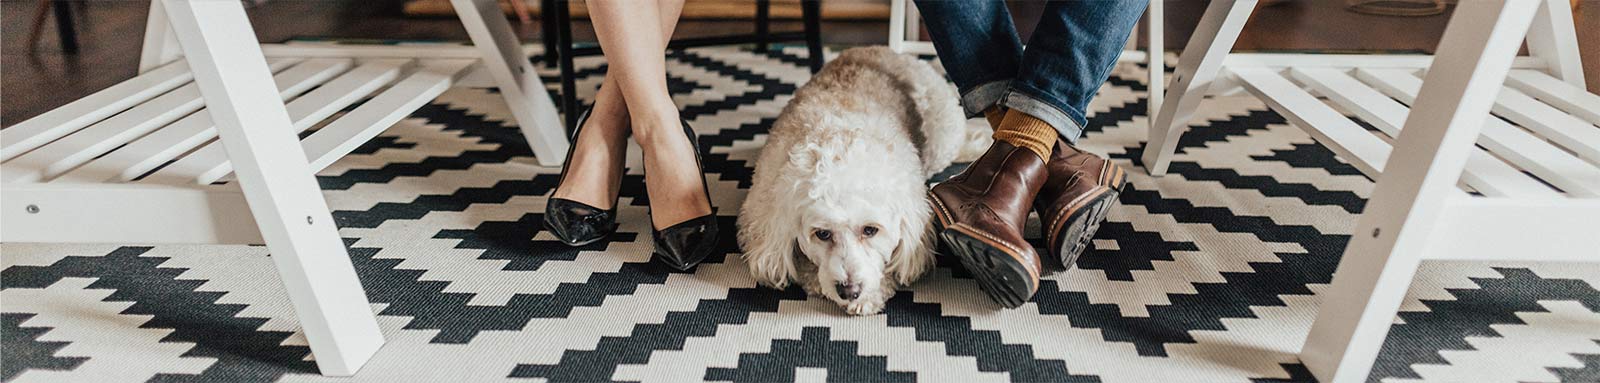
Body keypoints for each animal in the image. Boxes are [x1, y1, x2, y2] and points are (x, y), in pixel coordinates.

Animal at [739, 47, 985, 314]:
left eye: (870, 230)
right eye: (822, 234)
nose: (849, 291)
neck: (840, 139)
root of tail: (885, 50)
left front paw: (871, 294)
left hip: (942, 131)